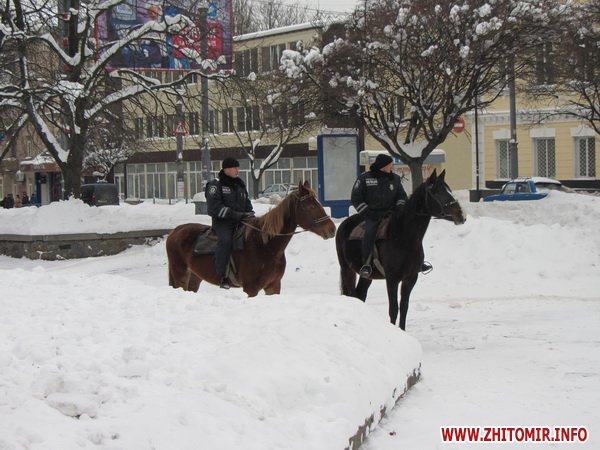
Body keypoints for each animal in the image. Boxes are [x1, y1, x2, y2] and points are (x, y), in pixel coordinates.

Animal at [166, 180, 336, 297]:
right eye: (311, 206)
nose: (332, 229)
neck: (266, 245)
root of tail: (174, 231)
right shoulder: (251, 288)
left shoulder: (274, 286)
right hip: (181, 274)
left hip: (194, 278)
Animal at [335, 169, 466, 330]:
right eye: (437, 192)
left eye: (449, 190)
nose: (461, 214)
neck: (404, 238)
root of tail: (344, 224)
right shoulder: (392, 279)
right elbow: (393, 309)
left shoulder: (410, 278)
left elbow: (404, 307)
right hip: (347, 269)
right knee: (351, 294)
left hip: (366, 276)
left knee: (360, 295)